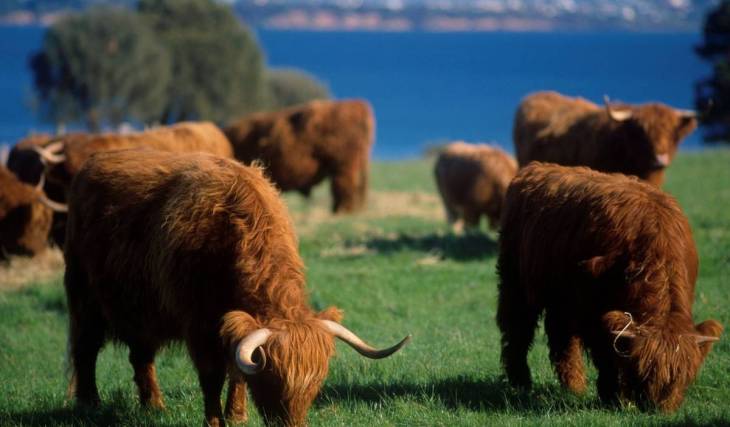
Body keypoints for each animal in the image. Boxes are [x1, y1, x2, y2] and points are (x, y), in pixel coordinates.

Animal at [64, 149, 409, 426]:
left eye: (316, 385)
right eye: (272, 381)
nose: (290, 425)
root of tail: (93, 162)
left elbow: (237, 371)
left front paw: (237, 416)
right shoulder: (199, 325)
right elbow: (212, 375)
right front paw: (214, 421)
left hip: (142, 311)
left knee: (140, 356)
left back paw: (154, 407)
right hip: (84, 297)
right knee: (85, 348)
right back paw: (89, 404)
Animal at [496, 162, 722, 412]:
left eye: (682, 377)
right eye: (643, 371)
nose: (657, 407)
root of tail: (536, 167)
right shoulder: (593, 310)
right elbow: (605, 354)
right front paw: (613, 395)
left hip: (561, 298)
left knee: (560, 336)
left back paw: (574, 386)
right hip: (515, 282)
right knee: (517, 327)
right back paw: (520, 381)